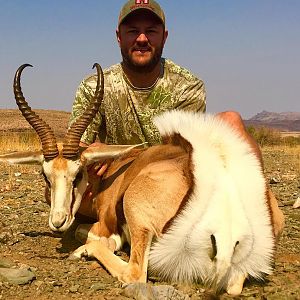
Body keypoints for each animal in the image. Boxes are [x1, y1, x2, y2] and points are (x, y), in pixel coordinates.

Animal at [0, 63, 284, 296]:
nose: (58, 222)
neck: (110, 174)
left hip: (137, 215)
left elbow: (93, 234)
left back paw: (84, 251)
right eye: (45, 175)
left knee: (134, 272)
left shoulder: (107, 221)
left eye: (78, 174)